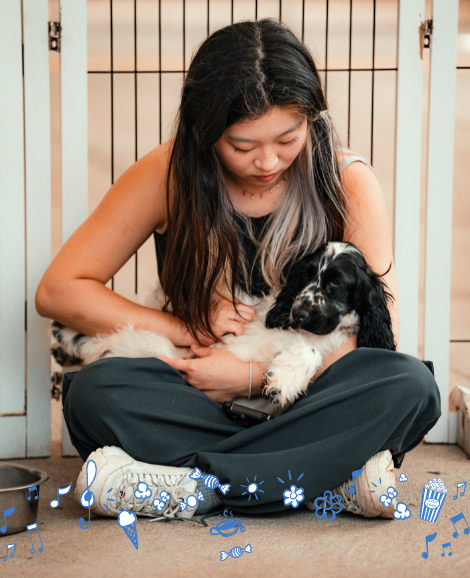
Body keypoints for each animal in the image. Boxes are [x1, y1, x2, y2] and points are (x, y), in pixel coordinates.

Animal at [51, 241, 394, 412]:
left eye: (335, 283)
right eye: (304, 276)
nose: (297, 313)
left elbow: (308, 350)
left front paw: (282, 380)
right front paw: (282, 382)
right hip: (153, 344)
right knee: (109, 346)